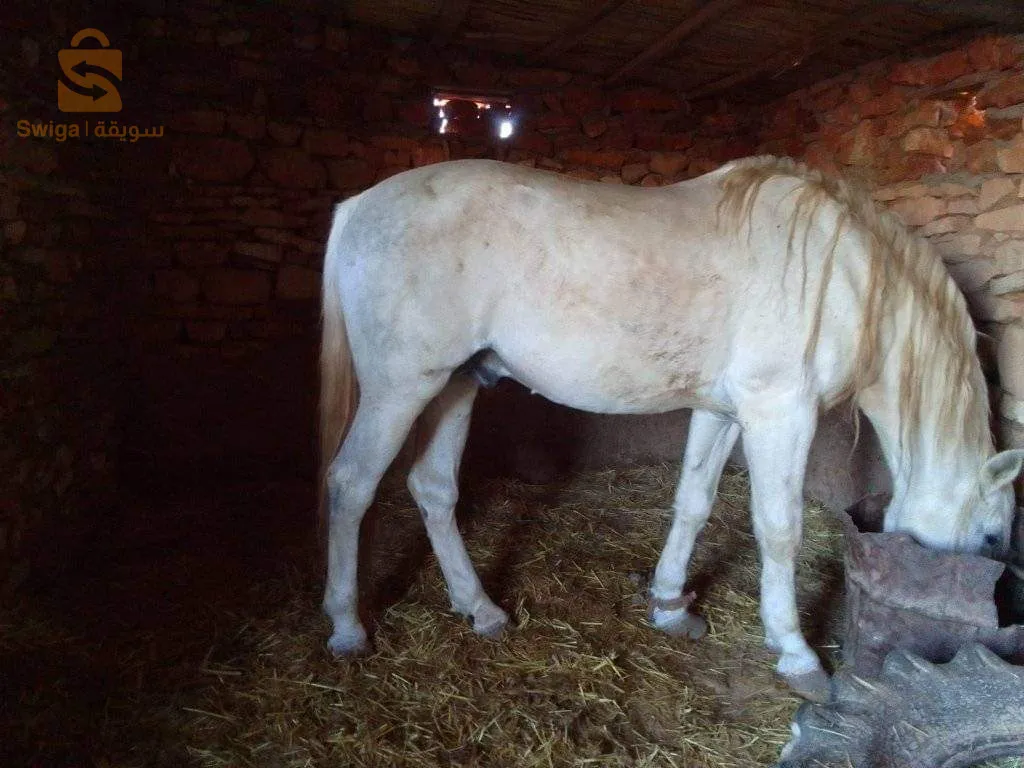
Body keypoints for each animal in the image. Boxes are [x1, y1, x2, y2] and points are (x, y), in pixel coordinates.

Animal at [317, 155, 1023, 700]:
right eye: (993, 537)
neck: (844, 274)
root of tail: (358, 206)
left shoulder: (723, 412)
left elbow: (694, 502)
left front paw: (668, 604)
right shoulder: (779, 412)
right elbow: (779, 529)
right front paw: (795, 652)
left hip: (456, 384)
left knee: (433, 490)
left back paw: (482, 610)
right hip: (402, 388)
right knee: (350, 485)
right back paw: (348, 626)